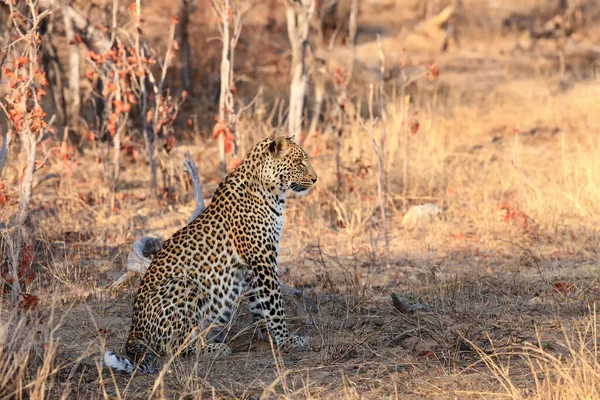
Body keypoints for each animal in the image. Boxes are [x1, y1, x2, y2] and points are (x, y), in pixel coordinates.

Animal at [103, 136, 318, 374]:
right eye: (299, 162)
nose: (315, 179)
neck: (271, 192)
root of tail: (134, 329)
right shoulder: (262, 260)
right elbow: (275, 305)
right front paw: (286, 339)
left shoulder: (251, 268)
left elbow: (260, 304)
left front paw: (267, 336)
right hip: (186, 285)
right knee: (175, 347)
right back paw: (214, 348)